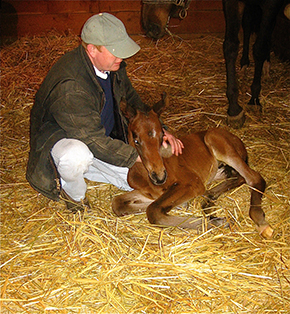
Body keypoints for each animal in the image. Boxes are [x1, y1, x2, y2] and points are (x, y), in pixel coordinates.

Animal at [142, 0, 286, 127]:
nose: (150, 27)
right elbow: (231, 46)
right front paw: (234, 109)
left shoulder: (271, 4)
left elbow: (259, 48)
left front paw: (254, 98)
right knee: (248, 23)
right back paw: (244, 64)